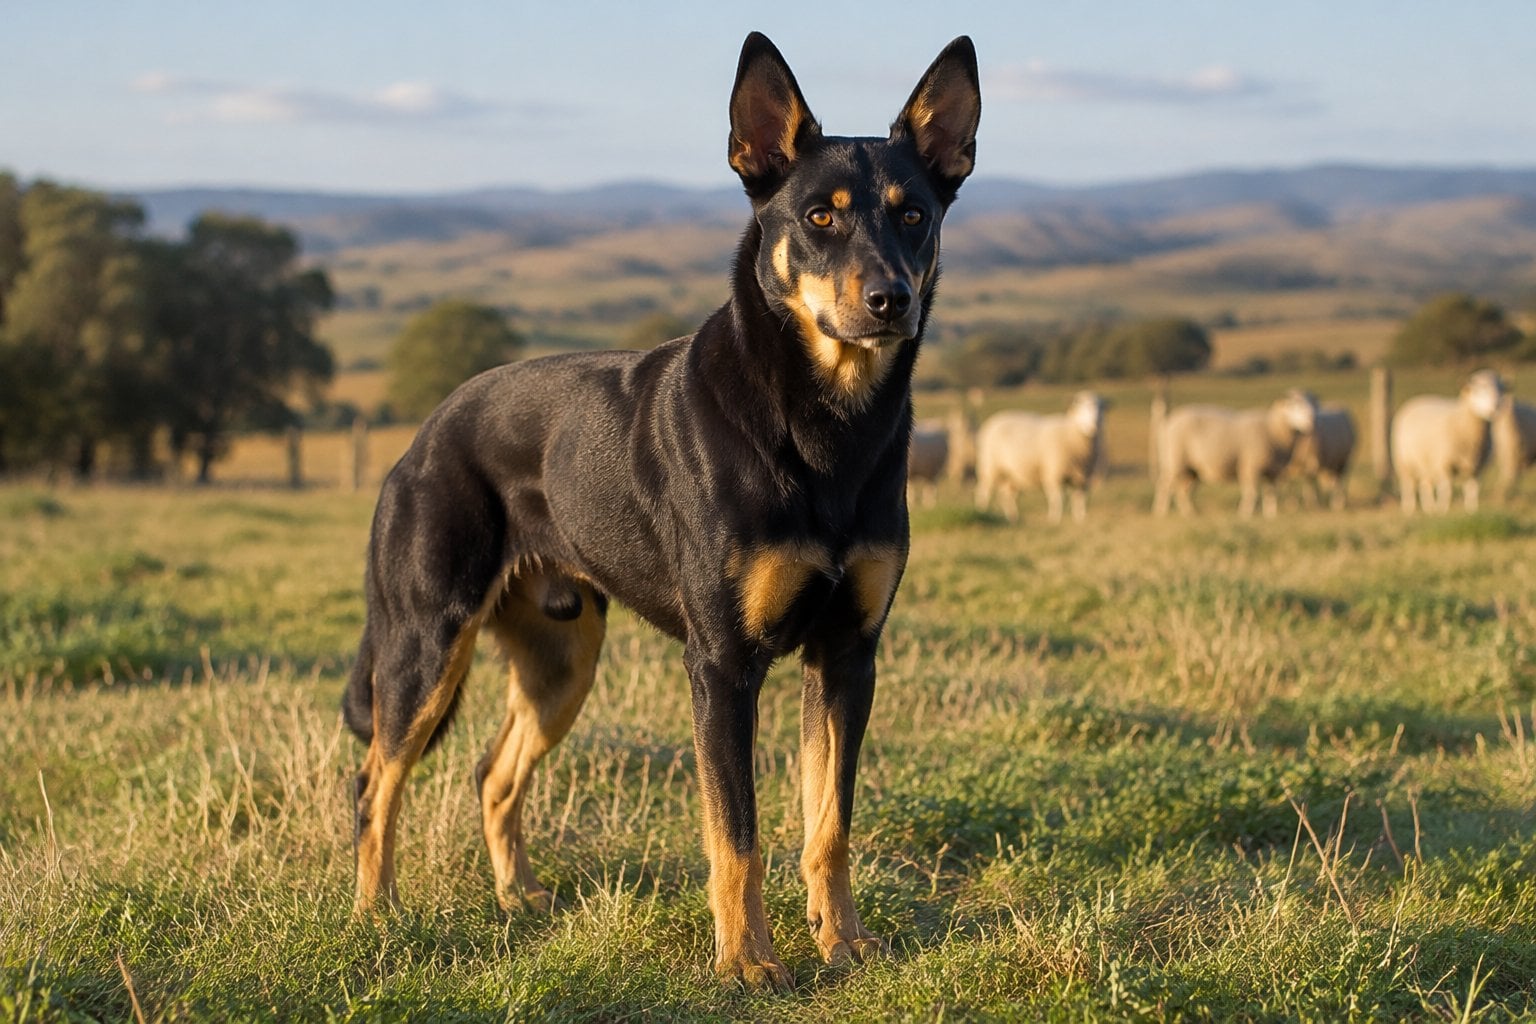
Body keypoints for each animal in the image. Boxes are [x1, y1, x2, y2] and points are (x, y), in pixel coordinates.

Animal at [974, 391, 1105, 523]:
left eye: (1100, 410)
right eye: (1080, 408)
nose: (1093, 426)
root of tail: (995, 419)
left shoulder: (1083, 477)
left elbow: (1079, 499)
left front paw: (1080, 519)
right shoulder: (1053, 474)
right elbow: (1058, 499)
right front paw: (1055, 520)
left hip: (1012, 474)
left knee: (1007, 495)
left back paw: (1013, 518)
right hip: (990, 467)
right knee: (984, 491)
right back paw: (982, 511)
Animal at [1152, 389, 1319, 518]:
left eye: (1312, 404)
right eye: (1294, 406)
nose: (1311, 421)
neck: (1273, 429)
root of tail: (1169, 420)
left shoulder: (1273, 471)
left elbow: (1271, 494)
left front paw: (1271, 515)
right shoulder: (1250, 467)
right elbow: (1252, 493)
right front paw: (1245, 514)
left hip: (1192, 469)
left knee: (1184, 491)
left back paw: (1191, 512)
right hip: (1175, 462)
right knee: (1165, 486)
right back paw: (1161, 512)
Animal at [1392, 368, 1505, 514]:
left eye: (1500, 391)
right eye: (1477, 391)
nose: (1495, 408)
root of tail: (1417, 399)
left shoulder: (1477, 467)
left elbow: (1472, 489)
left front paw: (1471, 510)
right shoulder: (1444, 464)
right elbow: (1447, 490)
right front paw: (1443, 511)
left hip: (1426, 462)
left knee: (1425, 485)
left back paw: (1429, 509)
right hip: (1404, 462)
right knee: (1408, 486)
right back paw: (1409, 509)